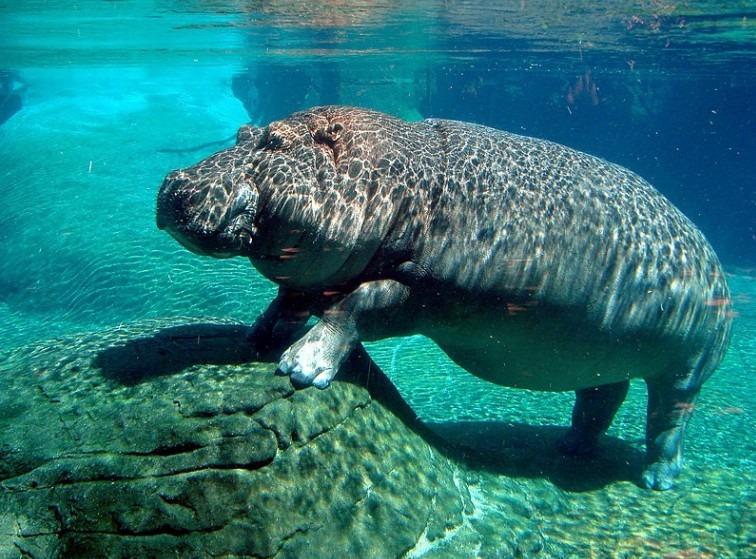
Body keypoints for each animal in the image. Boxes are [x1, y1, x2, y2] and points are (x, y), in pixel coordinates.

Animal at [156, 106, 732, 490]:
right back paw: (570, 448)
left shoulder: (424, 293)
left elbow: (351, 308)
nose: (174, 181)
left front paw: (301, 367)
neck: (387, 178)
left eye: (276, 142)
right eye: (244, 131)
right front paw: (256, 336)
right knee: (601, 395)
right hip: (602, 350)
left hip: (687, 366)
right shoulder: (318, 274)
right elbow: (289, 300)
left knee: (668, 420)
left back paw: (658, 479)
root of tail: (716, 260)